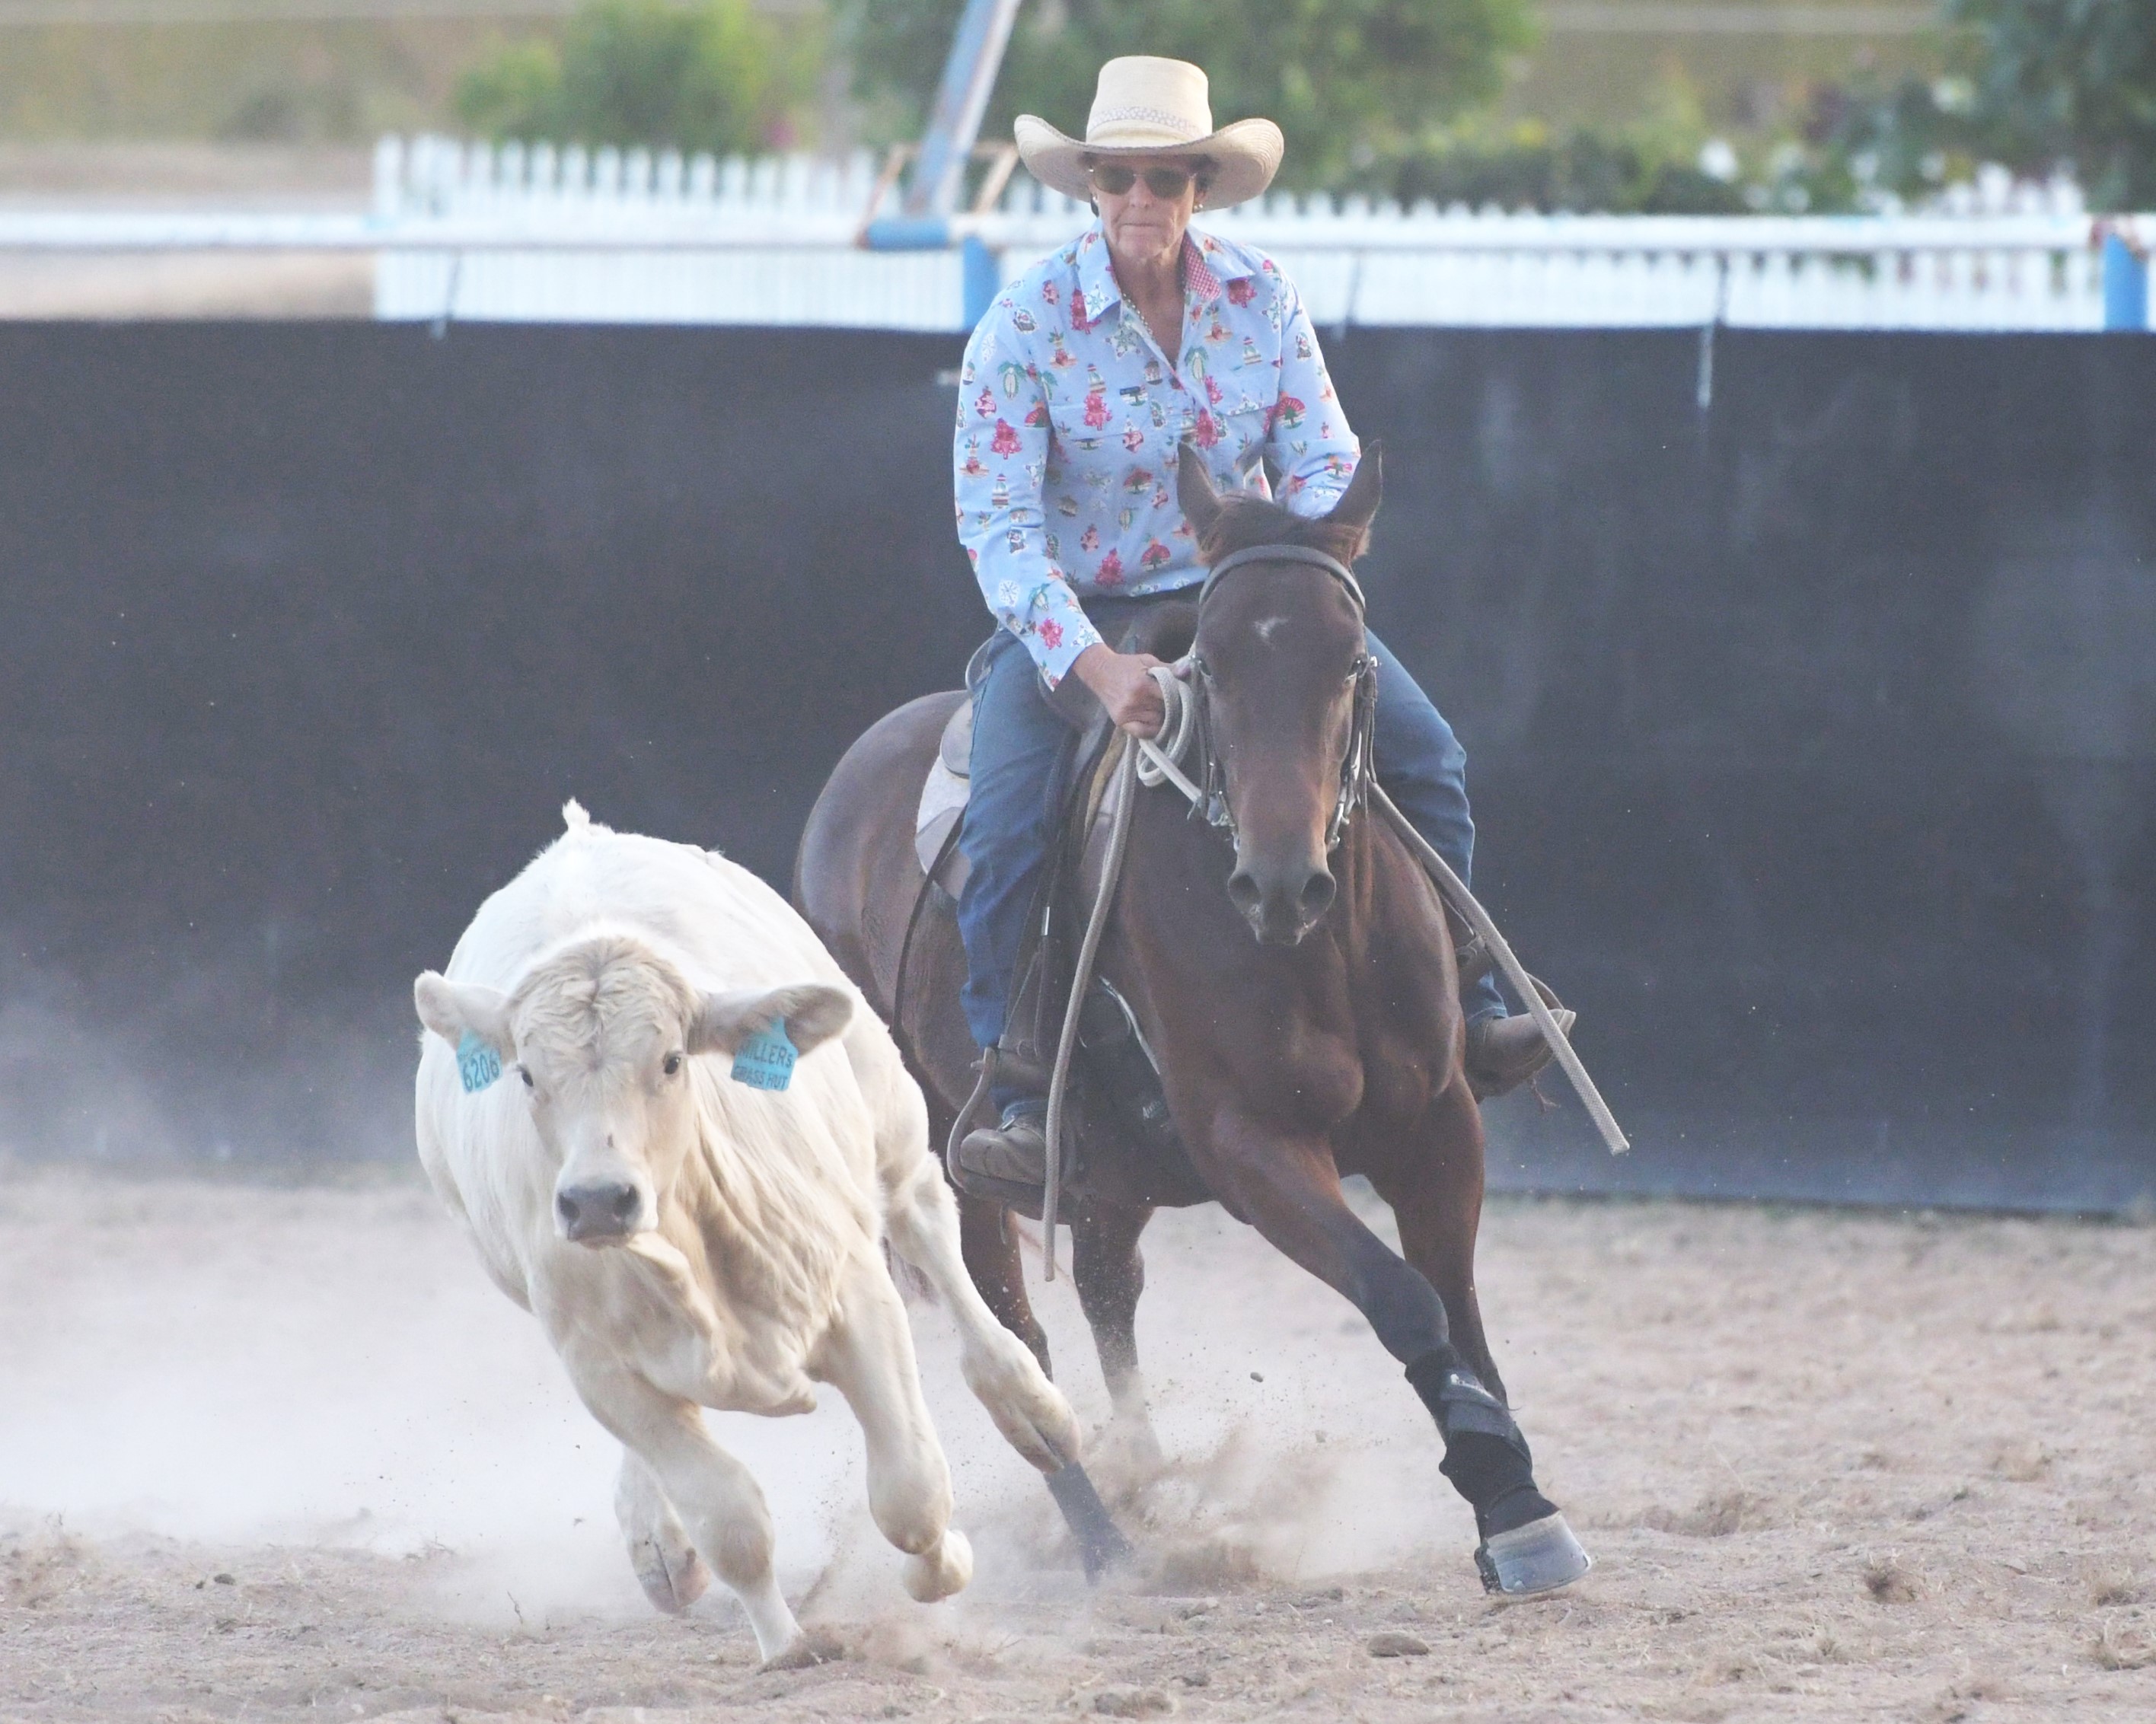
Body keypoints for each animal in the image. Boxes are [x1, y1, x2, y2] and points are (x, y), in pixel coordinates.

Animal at [411, 802, 1083, 1664]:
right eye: (526, 1073)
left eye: (671, 1060)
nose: (597, 1202)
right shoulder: (600, 1367)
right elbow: (730, 1519)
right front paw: (785, 1643)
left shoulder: (858, 1296)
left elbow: (911, 1492)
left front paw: (944, 1566)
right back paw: (657, 1543)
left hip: (888, 1103)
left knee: (927, 1220)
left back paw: (1032, 1405)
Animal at [795, 443, 1590, 1596]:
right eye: (1209, 668)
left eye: (1352, 663)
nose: (1280, 880)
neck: (1318, 951)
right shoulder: (1249, 1145)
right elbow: (1403, 1298)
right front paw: (1504, 1488)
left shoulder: (1437, 1121)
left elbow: (1460, 1307)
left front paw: (1516, 1507)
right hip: (944, 1165)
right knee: (1018, 1346)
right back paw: (1104, 1543)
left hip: (1109, 1173)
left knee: (1105, 1288)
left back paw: (1146, 1485)